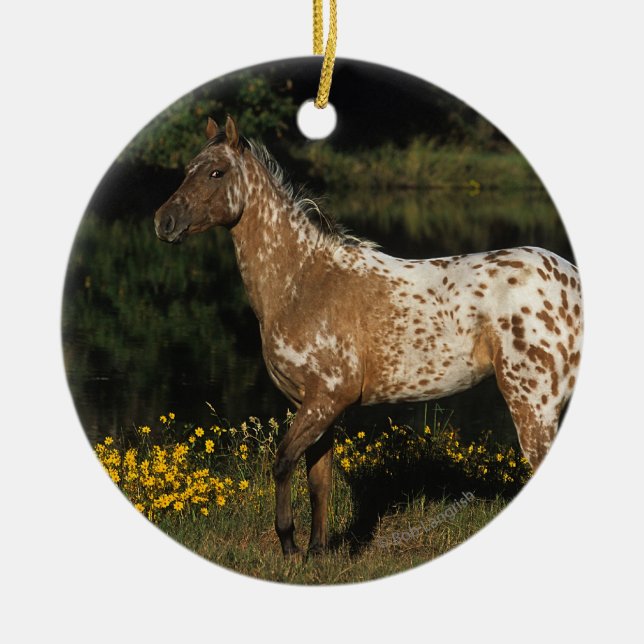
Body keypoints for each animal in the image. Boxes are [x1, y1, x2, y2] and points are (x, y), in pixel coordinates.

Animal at [154, 116, 583, 556]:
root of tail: (570, 279)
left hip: (533, 404)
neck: (303, 281)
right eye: (187, 168)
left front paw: (289, 545)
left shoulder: (327, 399)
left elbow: (283, 462)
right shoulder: (316, 405)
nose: (163, 222)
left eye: (216, 172)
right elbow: (319, 481)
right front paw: (316, 553)